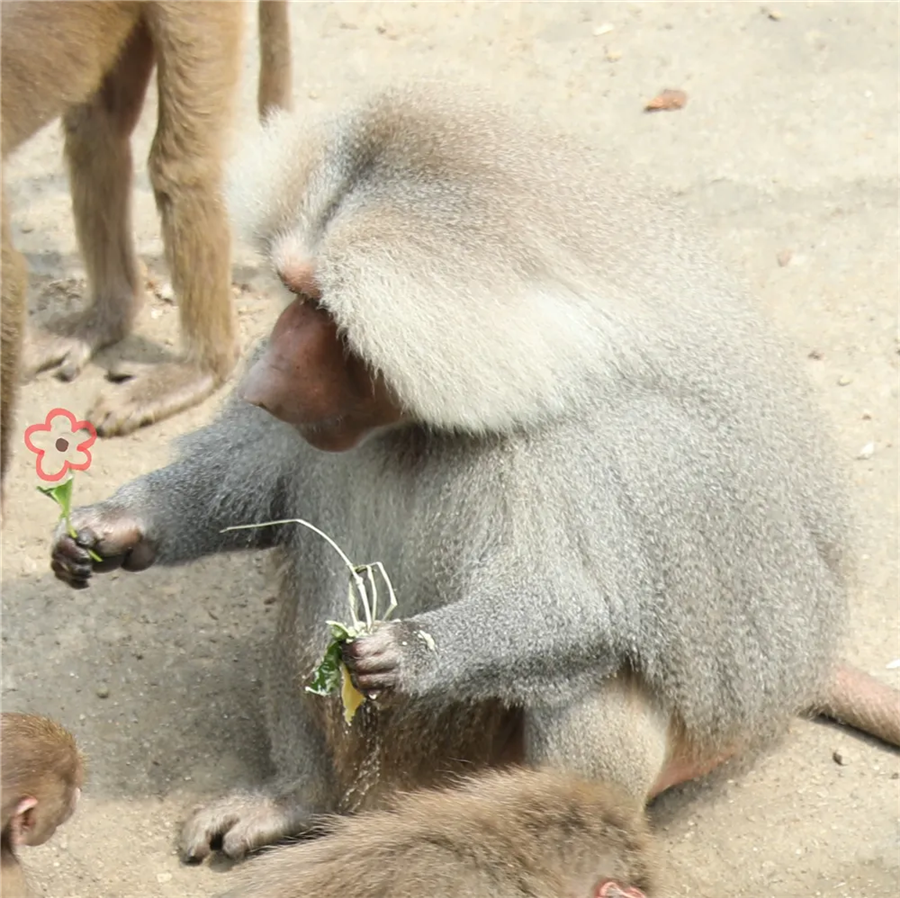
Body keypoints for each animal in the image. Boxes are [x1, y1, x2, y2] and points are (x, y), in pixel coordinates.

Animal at [0, 0, 294, 490]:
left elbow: (7, 280)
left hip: (197, 10)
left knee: (181, 166)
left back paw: (203, 367)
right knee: (97, 132)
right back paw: (105, 317)